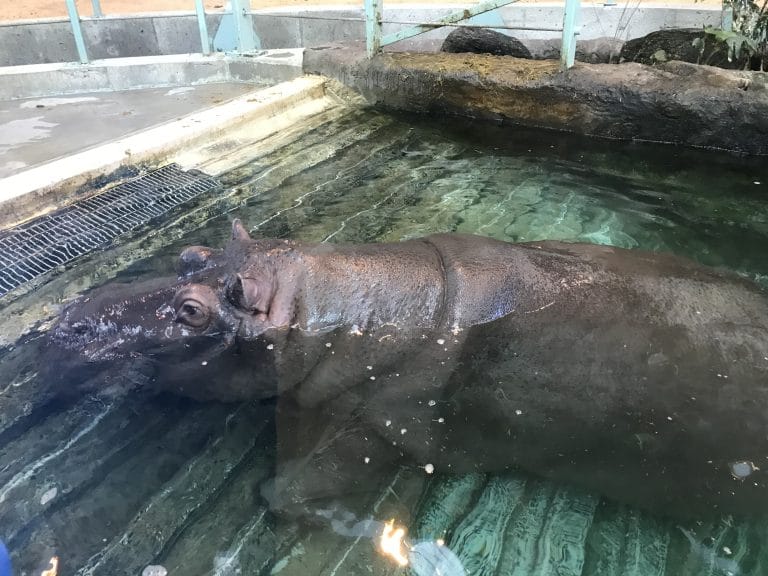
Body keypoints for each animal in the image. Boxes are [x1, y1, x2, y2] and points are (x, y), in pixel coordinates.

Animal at [47, 219, 768, 520]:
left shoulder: (388, 427)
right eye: (191, 253)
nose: (68, 318)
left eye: (192, 311)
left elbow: (315, 476)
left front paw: (273, 496)